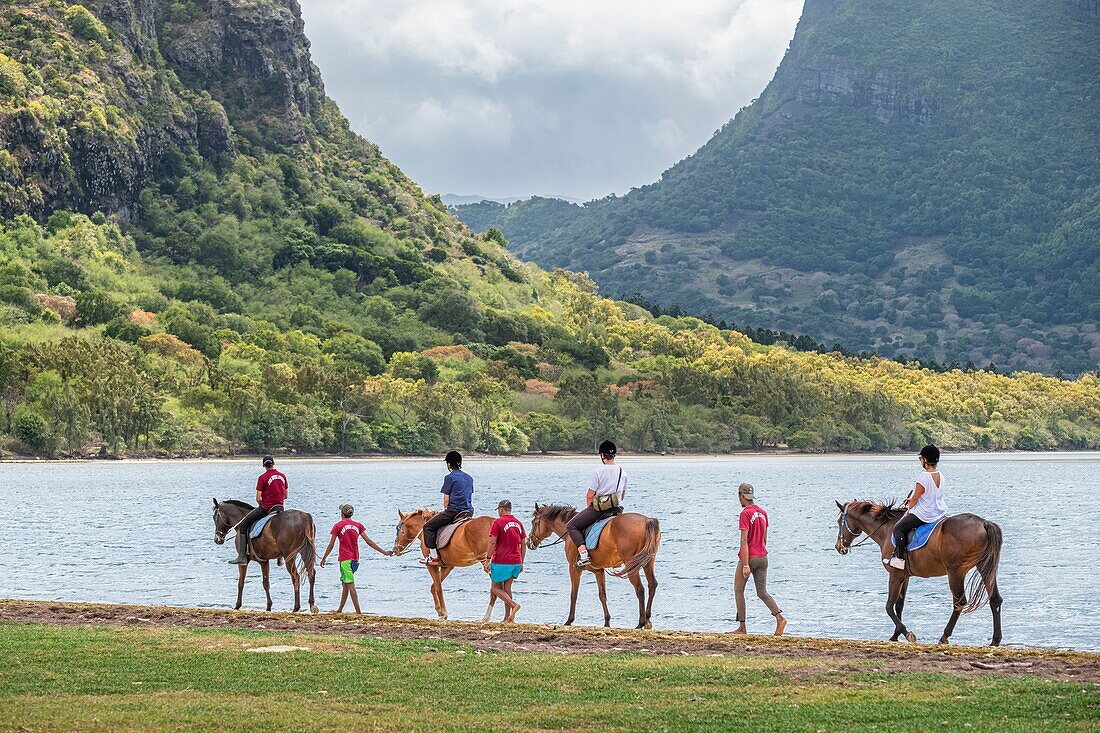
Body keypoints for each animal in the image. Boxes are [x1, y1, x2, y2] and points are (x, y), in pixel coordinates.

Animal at [525, 501, 660, 629]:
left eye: (533, 522)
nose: (529, 542)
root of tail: (647, 520)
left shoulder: (574, 569)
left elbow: (574, 594)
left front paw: (569, 620)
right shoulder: (598, 571)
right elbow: (602, 595)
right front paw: (607, 622)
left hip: (632, 565)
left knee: (640, 589)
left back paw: (641, 623)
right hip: (648, 562)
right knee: (652, 585)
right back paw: (648, 619)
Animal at [831, 497, 1007, 647]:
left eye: (840, 522)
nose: (839, 547)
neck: (887, 529)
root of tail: (984, 523)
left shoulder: (894, 575)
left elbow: (889, 606)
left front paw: (906, 633)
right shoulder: (904, 576)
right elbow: (899, 605)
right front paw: (895, 635)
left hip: (956, 572)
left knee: (960, 602)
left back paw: (944, 636)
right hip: (985, 568)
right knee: (995, 600)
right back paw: (995, 640)